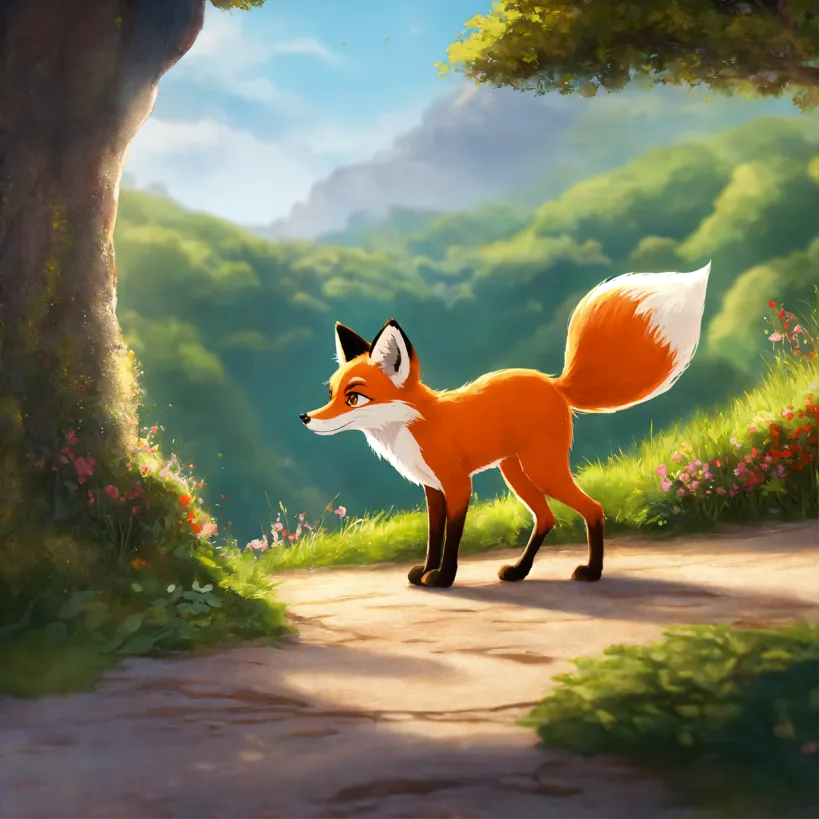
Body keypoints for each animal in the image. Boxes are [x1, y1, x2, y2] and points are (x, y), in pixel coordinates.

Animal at [300, 263, 711, 589]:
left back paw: (592, 572)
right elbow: (434, 536)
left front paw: (443, 578)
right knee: (546, 518)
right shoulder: (433, 490)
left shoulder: (457, 485)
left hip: (541, 470)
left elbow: (452, 538)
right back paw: (519, 571)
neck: (414, 426)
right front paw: (426, 572)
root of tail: (553, 382)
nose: (305, 418)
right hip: (516, 472)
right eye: (332, 393)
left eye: (354, 398)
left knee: (592, 508)